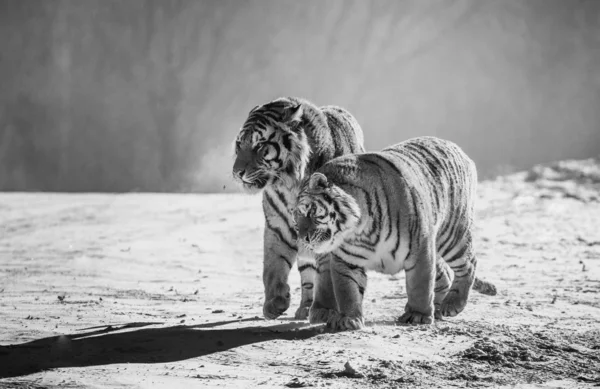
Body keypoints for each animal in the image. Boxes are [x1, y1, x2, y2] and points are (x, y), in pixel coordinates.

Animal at [231, 96, 364, 318]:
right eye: (239, 143)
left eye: (259, 145)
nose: (237, 173)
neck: (289, 184)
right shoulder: (278, 226)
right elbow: (273, 266)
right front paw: (275, 302)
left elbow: (328, 271)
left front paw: (327, 309)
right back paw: (305, 307)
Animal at [294, 135, 496, 328]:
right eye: (296, 221)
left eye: (309, 212)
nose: (303, 239)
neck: (359, 232)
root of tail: (457, 148)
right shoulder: (346, 260)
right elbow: (348, 290)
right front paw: (349, 319)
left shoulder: (420, 249)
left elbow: (420, 285)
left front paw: (418, 316)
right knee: (445, 273)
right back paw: (438, 309)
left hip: (452, 236)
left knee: (469, 264)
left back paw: (451, 304)